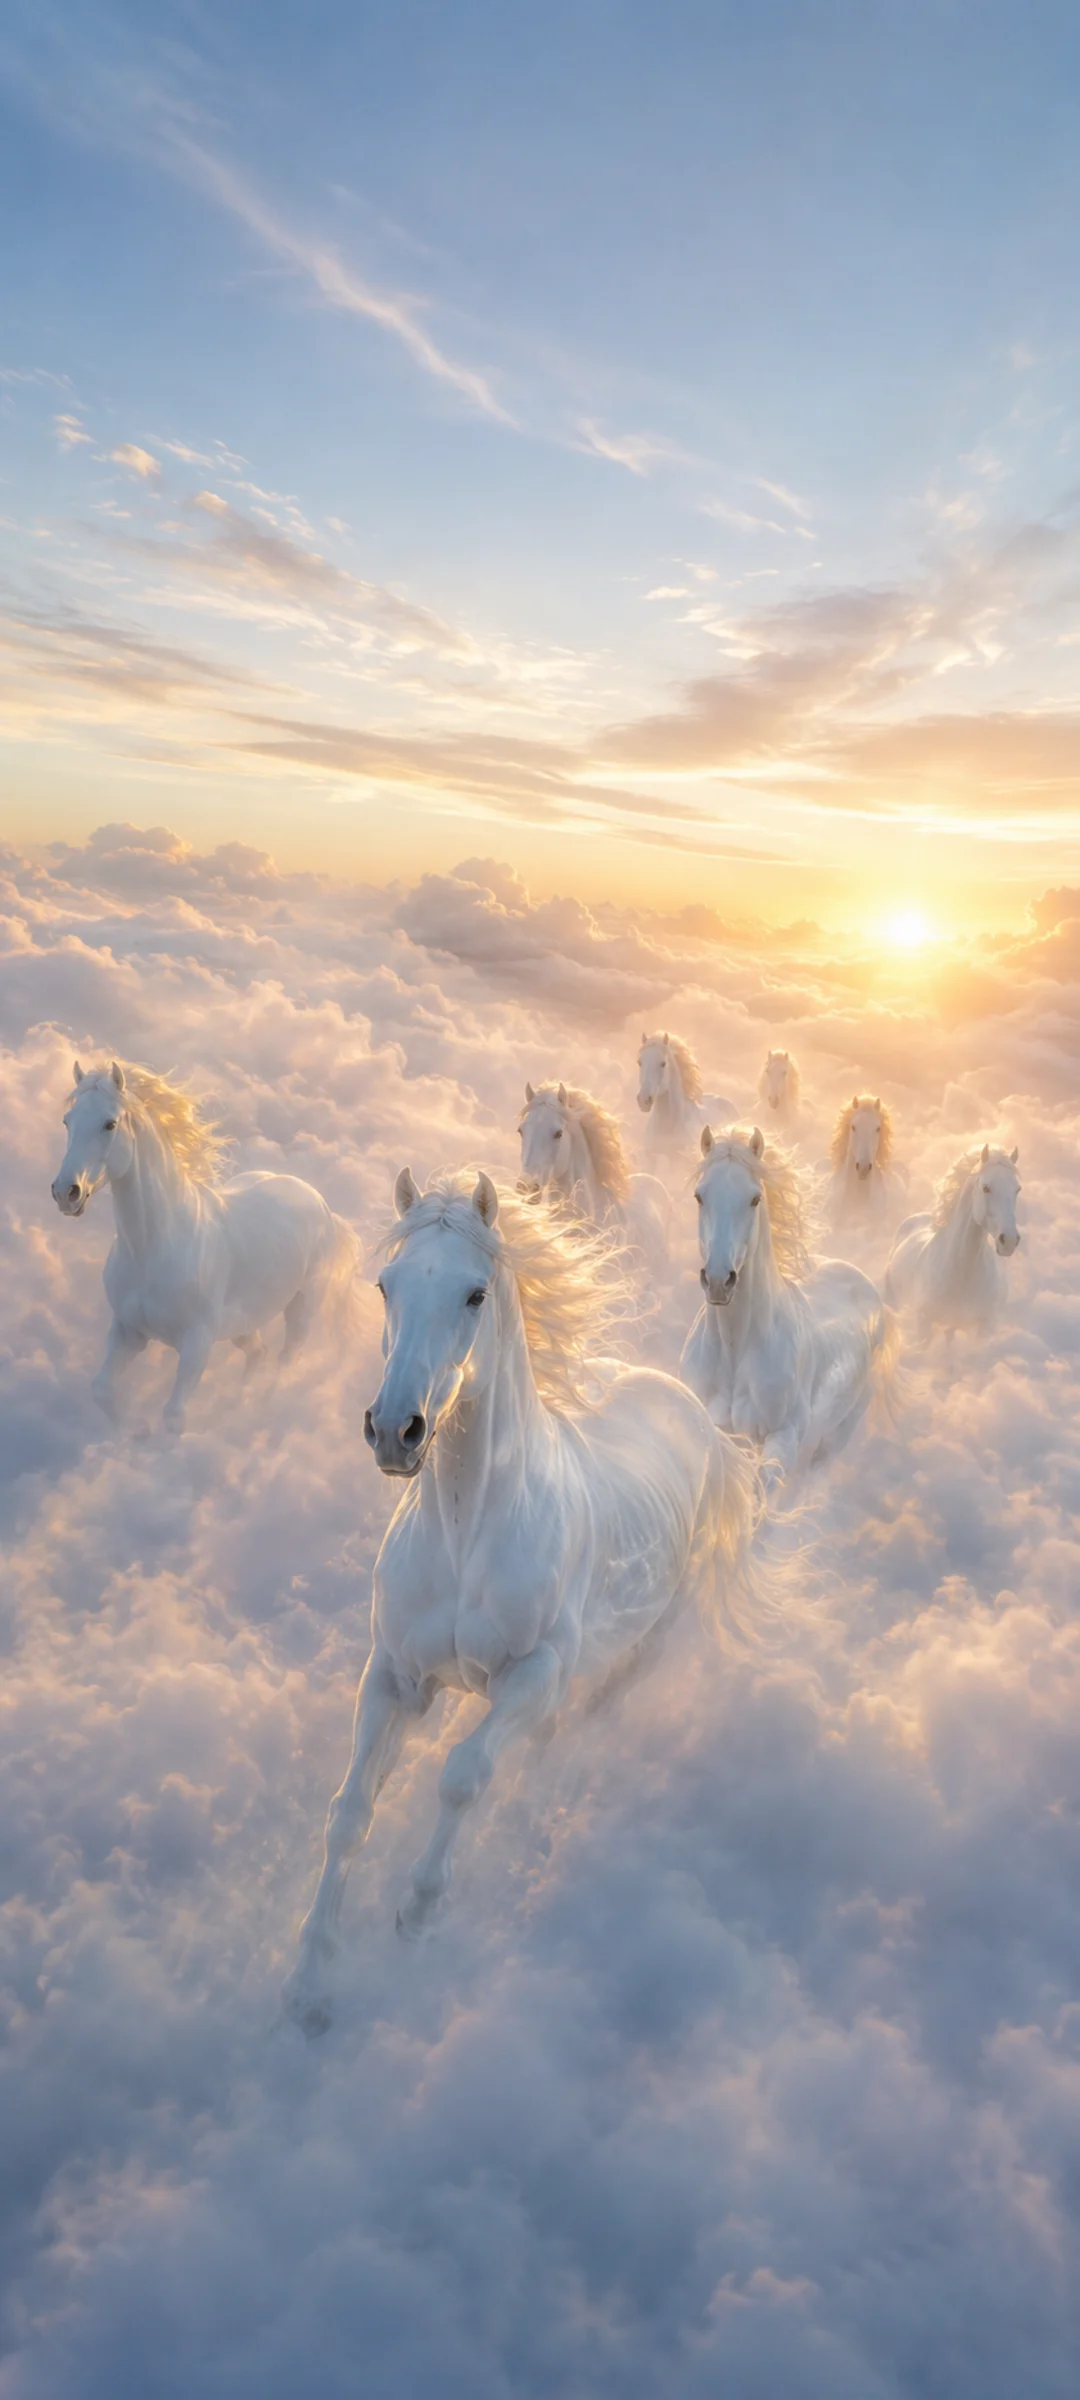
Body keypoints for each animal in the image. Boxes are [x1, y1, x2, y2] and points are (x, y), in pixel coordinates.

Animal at [51, 1061, 358, 1430]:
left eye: (109, 1124)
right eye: (67, 1121)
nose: (66, 1192)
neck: (154, 1250)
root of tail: (321, 1204)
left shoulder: (197, 1343)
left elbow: (173, 1417)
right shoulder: (128, 1331)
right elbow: (102, 1390)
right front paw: (135, 1432)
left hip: (301, 1310)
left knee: (285, 1361)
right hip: (243, 1325)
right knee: (259, 1355)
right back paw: (237, 1406)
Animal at [283, 1167, 761, 2034]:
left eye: (475, 1294)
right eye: (385, 1285)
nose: (394, 1431)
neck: (467, 1536)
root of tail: (701, 1425)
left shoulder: (532, 1675)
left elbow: (464, 1776)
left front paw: (418, 1913)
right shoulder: (394, 1676)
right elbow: (351, 1811)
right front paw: (308, 1986)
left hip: (626, 1664)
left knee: (556, 1743)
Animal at [681, 1126, 897, 1496]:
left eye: (754, 1199)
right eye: (699, 1196)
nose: (720, 1281)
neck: (735, 1351)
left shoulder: (783, 1439)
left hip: (835, 1437)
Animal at [884, 1144, 1021, 1338]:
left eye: (1017, 1189)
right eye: (986, 1187)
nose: (1008, 1241)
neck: (961, 1273)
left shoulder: (986, 1325)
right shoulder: (923, 1323)